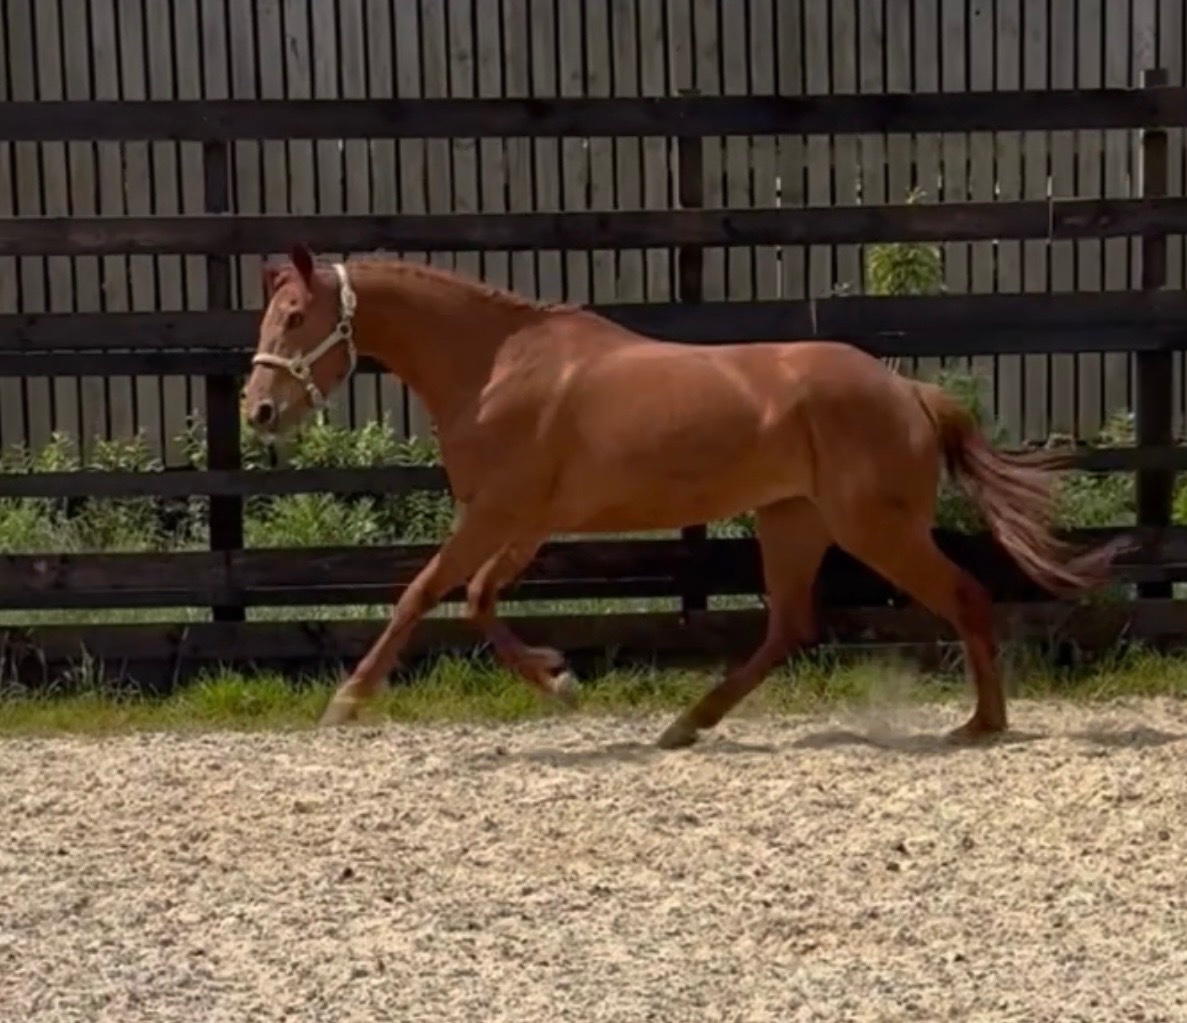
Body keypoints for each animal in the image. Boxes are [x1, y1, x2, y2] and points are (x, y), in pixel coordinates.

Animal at [241, 244, 1118, 749]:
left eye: (295, 315)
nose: (258, 411)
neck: (495, 365)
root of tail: (907, 391)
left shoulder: (491, 514)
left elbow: (421, 594)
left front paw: (346, 701)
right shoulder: (525, 522)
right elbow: (480, 601)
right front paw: (559, 679)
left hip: (874, 528)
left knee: (963, 596)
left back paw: (981, 724)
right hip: (791, 522)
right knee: (789, 626)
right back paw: (684, 723)